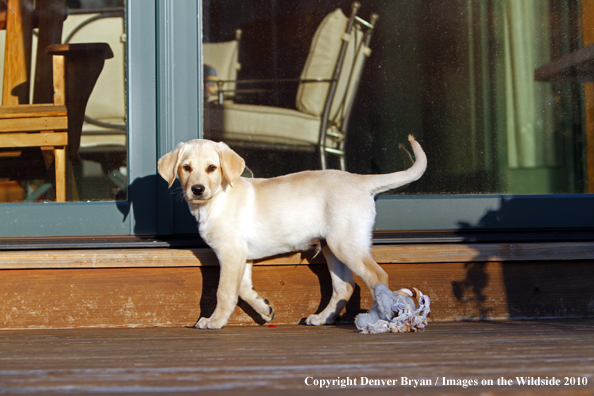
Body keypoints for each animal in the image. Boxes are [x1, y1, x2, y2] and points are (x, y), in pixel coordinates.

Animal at [158, 136, 426, 328]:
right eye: (186, 168)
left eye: (212, 168)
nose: (197, 189)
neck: (216, 201)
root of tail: (361, 181)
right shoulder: (242, 256)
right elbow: (243, 289)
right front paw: (264, 308)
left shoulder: (230, 253)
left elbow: (224, 291)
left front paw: (215, 321)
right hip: (332, 247)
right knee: (345, 287)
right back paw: (322, 318)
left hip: (345, 244)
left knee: (377, 276)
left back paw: (380, 317)